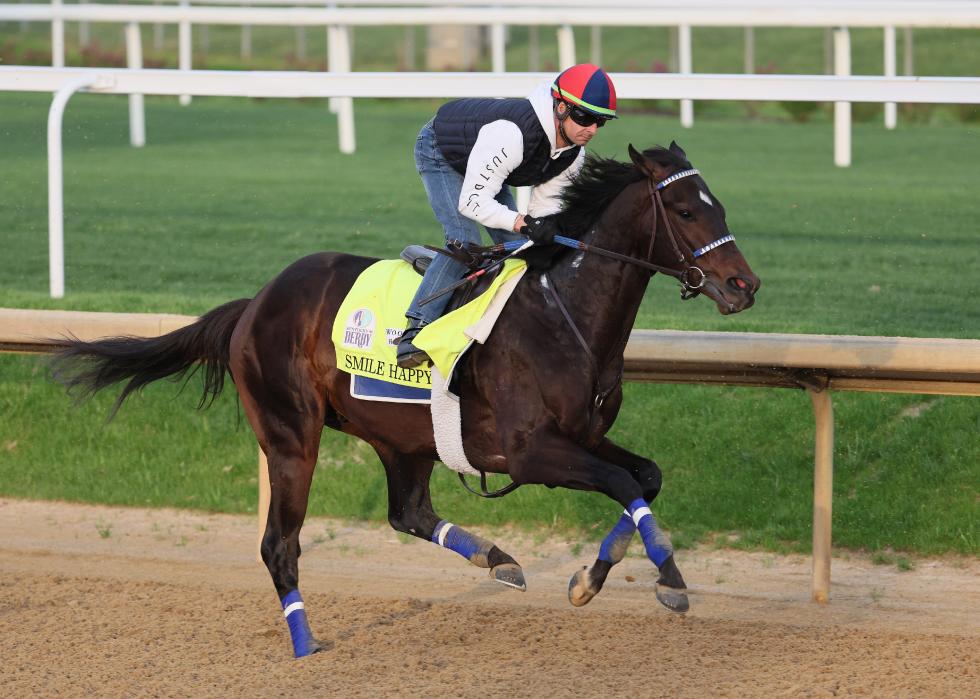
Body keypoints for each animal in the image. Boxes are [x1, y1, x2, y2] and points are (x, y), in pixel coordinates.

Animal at [51, 142, 756, 656]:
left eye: (719, 205)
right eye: (686, 211)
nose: (743, 286)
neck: (565, 317)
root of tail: (254, 303)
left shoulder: (581, 437)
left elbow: (645, 477)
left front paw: (592, 577)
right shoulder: (533, 453)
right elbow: (624, 483)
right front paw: (668, 581)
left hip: (403, 437)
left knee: (409, 511)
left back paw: (498, 560)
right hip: (291, 437)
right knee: (280, 543)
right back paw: (305, 643)